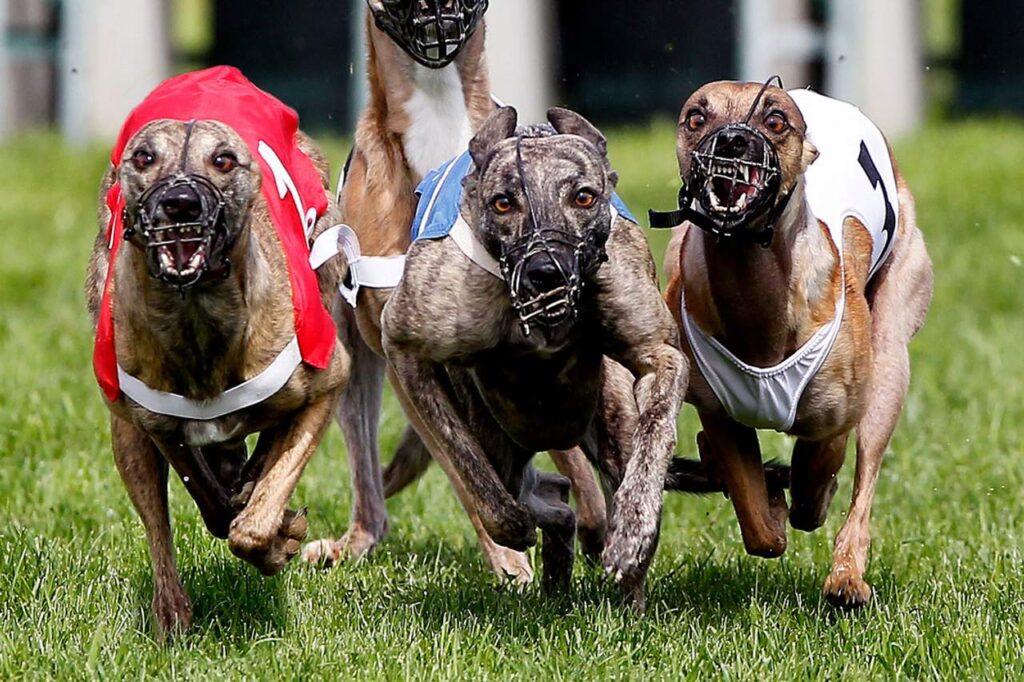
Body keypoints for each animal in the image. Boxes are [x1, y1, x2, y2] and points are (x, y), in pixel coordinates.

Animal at [85, 67, 350, 635]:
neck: (198, 319)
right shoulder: (158, 426)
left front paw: (275, 537)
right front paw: (269, 528)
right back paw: (172, 611)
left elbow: (253, 518)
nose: (180, 203)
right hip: (124, 432)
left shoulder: (328, 381)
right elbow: (213, 506)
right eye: (145, 157)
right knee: (160, 521)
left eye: (224, 159)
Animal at [380, 105, 709, 605]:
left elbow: (653, 441)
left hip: (609, 417)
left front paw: (632, 535)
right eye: (503, 203)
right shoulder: (406, 348)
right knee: (544, 494)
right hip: (497, 433)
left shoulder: (659, 355)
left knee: (582, 486)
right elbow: (471, 469)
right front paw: (512, 526)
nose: (545, 271)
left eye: (584, 197)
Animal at [654, 79, 933, 607]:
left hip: (891, 355)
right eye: (697, 117)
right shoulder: (720, 413)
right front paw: (768, 502)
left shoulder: (835, 419)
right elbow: (762, 529)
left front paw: (806, 500)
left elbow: (816, 476)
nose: (732, 141)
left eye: (776, 120)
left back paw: (847, 578)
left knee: (863, 479)